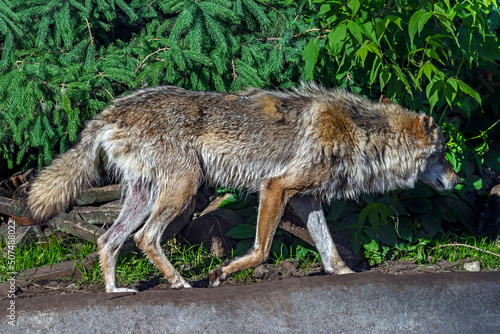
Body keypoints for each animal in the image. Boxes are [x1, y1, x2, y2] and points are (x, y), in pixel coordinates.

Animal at [26, 83, 458, 292]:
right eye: (443, 154)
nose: (457, 179)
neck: (361, 132)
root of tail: (109, 112)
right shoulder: (276, 187)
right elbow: (261, 251)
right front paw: (220, 275)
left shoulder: (306, 200)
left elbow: (329, 248)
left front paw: (344, 273)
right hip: (183, 189)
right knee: (145, 238)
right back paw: (180, 283)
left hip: (146, 196)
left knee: (108, 240)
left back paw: (115, 291)